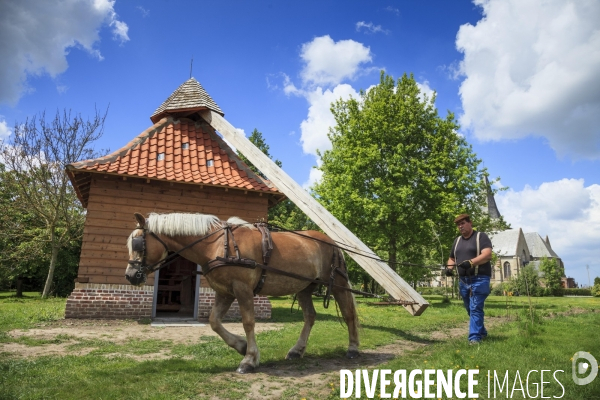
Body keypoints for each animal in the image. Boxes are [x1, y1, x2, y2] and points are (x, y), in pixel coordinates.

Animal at [124, 212, 358, 372]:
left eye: (138, 244)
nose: (130, 275)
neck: (218, 244)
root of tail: (332, 242)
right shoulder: (225, 292)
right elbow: (214, 322)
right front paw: (241, 346)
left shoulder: (242, 288)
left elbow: (248, 322)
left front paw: (250, 359)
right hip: (303, 288)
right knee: (310, 316)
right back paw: (296, 350)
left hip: (338, 284)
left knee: (349, 314)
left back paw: (353, 348)